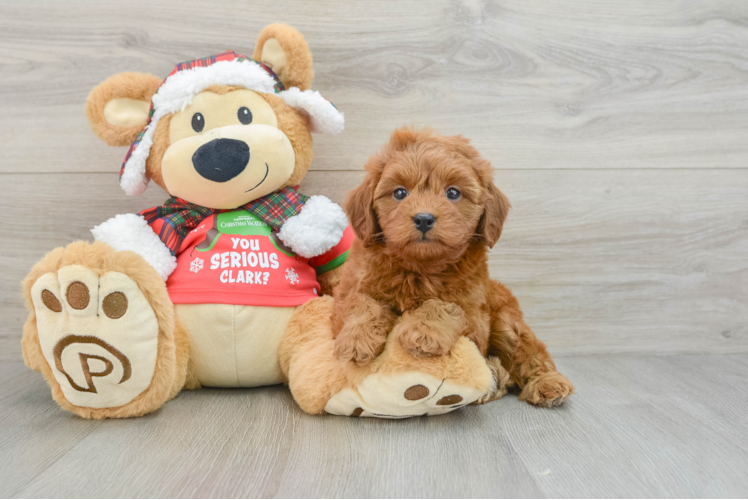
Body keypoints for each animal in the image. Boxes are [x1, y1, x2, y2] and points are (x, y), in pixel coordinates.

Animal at [332, 126, 572, 406]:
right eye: (400, 193)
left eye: (453, 193)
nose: (424, 219)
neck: (420, 269)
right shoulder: (345, 296)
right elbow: (361, 304)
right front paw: (356, 338)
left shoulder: (474, 318)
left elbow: (444, 305)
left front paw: (424, 331)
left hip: (506, 320)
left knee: (529, 351)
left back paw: (546, 383)